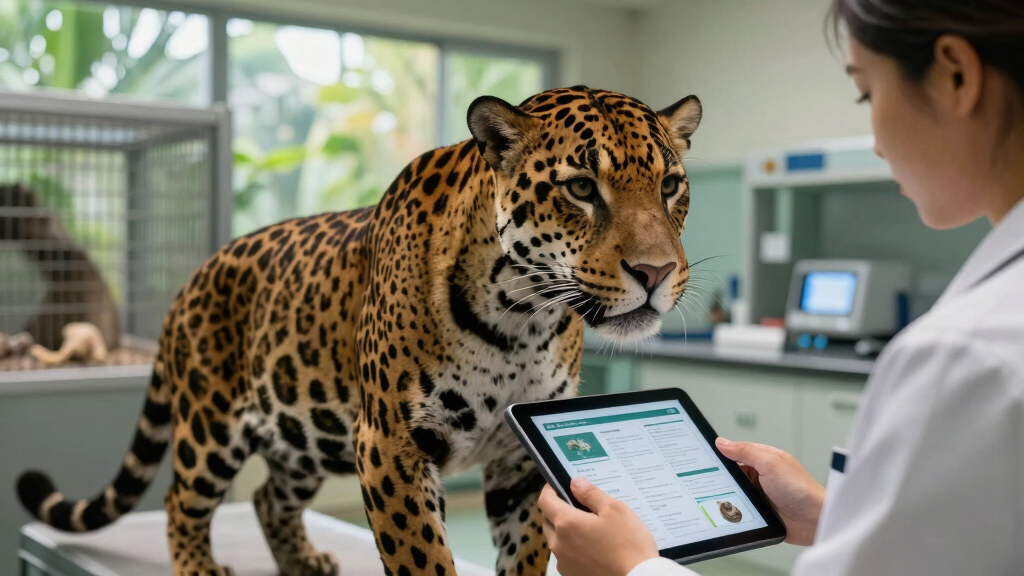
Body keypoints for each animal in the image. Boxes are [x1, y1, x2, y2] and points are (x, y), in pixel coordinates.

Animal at [16, 85, 702, 576]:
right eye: (582, 187)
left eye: (671, 185)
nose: (656, 272)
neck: (522, 317)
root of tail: (193, 276)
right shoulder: (391, 445)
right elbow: (424, 560)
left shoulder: (520, 459)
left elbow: (526, 554)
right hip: (210, 427)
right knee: (180, 503)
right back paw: (199, 569)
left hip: (303, 432)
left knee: (268, 498)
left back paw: (303, 560)